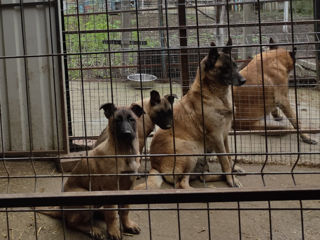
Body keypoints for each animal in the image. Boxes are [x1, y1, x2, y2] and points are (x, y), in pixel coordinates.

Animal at [135, 39, 245, 189]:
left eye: (234, 65)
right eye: (225, 68)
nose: (244, 80)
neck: (216, 94)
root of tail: (155, 166)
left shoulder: (224, 135)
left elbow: (229, 155)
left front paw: (234, 170)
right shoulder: (217, 136)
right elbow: (224, 161)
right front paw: (232, 179)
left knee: (201, 177)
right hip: (190, 151)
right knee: (182, 183)